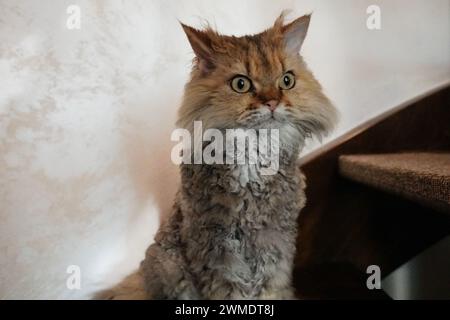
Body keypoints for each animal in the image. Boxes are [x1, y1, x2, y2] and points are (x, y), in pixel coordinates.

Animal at [95, 11, 336, 300]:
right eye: (241, 84)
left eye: (287, 81)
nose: (272, 103)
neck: (254, 158)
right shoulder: (216, 249)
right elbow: (231, 292)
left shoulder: (274, 241)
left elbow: (272, 288)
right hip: (172, 266)